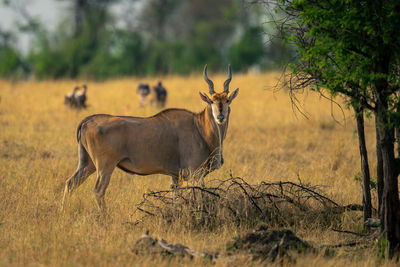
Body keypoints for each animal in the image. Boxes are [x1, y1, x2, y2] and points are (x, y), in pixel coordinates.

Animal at [61, 65, 239, 211]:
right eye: (211, 101)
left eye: (227, 100)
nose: (220, 116)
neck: (199, 126)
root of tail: (87, 120)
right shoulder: (195, 173)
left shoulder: (176, 176)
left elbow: (175, 196)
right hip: (105, 166)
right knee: (98, 190)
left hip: (88, 164)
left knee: (70, 183)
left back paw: (63, 211)